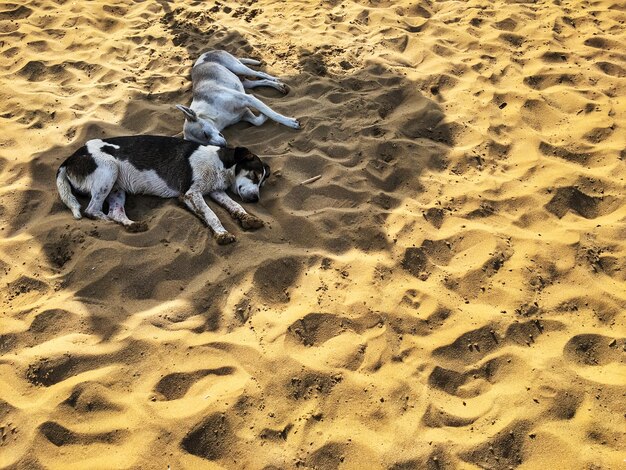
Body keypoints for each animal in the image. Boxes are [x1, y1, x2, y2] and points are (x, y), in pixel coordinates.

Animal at [54, 134, 266, 244]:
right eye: (254, 176)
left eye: (262, 182)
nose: (256, 199)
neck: (219, 164)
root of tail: (69, 159)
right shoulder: (191, 193)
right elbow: (211, 214)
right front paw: (222, 234)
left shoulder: (214, 191)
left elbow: (235, 206)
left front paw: (249, 218)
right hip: (109, 170)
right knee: (92, 211)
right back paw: (111, 222)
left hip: (116, 187)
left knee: (115, 212)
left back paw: (133, 225)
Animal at [174, 49, 302, 146]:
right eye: (204, 145)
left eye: (205, 134)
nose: (223, 146)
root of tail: (206, 52)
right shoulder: (244, 113)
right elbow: (258, 121)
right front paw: (263, 115)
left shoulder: (248, 99)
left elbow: (274, 114)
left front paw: (290, 123)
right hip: (244, 82)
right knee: (259, 81)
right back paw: (279, 86)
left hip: (238, 67)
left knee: (260, 73)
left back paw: (277, 80)